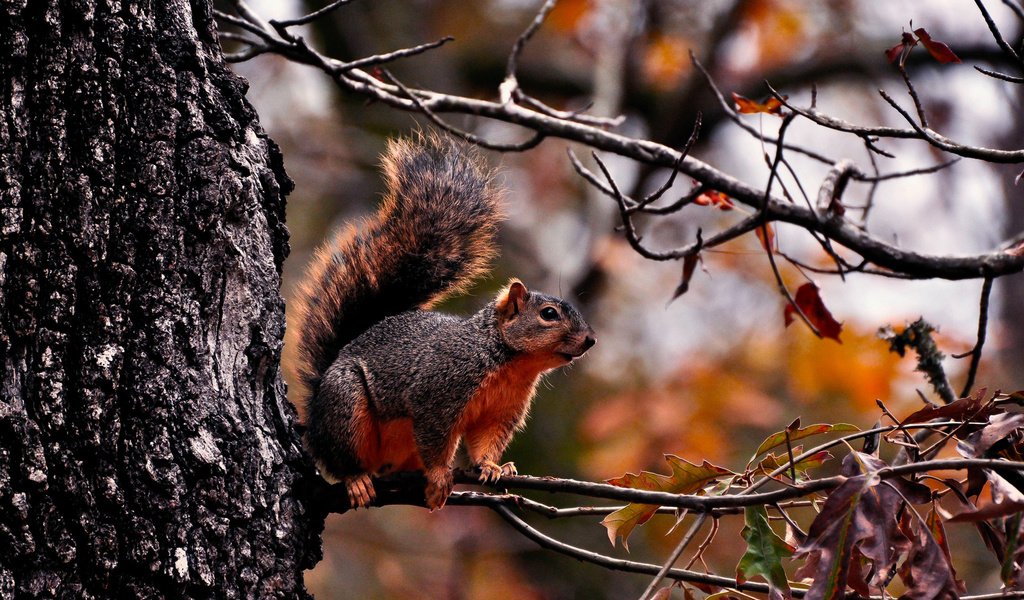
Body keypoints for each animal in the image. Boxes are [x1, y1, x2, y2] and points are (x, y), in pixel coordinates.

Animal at [288, 133, 598, 507]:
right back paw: (357, 479)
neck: (510, 363)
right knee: (341, 456)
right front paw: (438, 476)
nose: (590, 340)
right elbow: (435, 438)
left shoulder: (501, 412)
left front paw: (493, 466)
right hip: (345, 404)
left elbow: (485, 441)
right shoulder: (437, 392)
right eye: (549, 314)